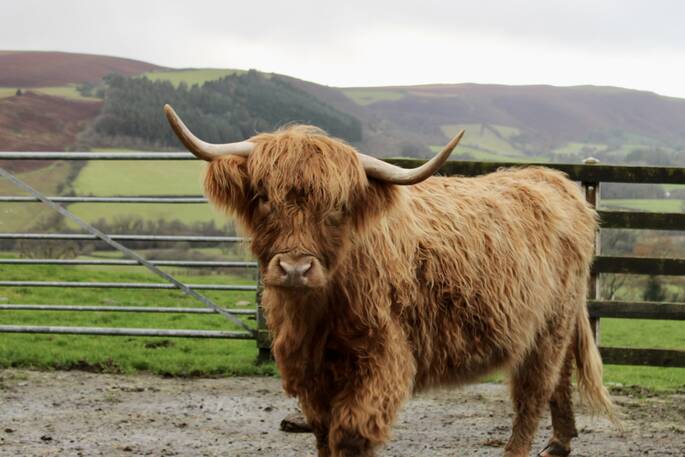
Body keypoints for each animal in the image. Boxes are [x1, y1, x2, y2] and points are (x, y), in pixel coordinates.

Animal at [164, 104, 617, 457]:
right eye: (262, 198)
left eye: (338, 206)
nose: (294, 268)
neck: (319, 313)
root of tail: (554, 181)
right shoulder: (312, 371)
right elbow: (323, 433)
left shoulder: (381, 359)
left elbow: (349, 434)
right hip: (553, 323)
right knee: (559, 375)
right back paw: (560, 441)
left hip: (548, 325)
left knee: (532, 392)